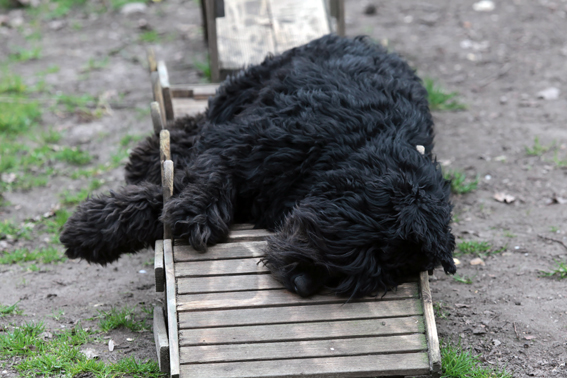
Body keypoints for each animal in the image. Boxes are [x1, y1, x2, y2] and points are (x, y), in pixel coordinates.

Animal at [61, 34, 458, 298]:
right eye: (356, 244)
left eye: (377, 276)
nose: (303, 284)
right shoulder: (241, 144)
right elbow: (197, 181)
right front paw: (89, 230)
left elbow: (170, 195)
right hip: (242, 91)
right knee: (200, 124)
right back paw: (146, 154)